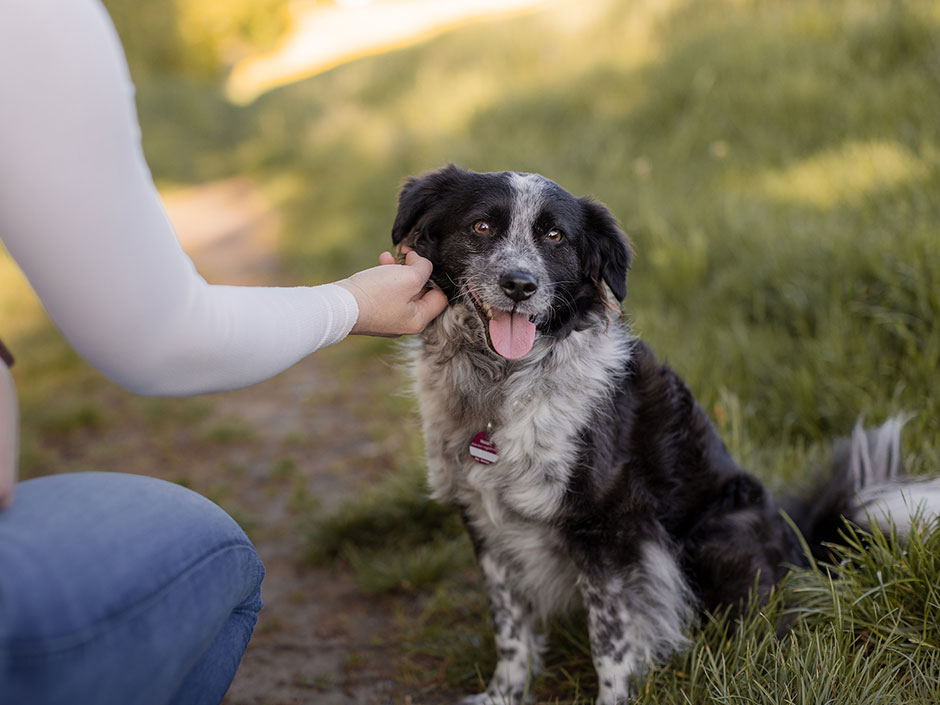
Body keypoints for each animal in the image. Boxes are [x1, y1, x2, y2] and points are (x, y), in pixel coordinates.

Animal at [392, 166, 940, 704]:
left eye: (554, 236)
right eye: (482, 226)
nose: (520, 285)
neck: (500, 386)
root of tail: (798, 543)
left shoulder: (606, 530)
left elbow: (611, 641)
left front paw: (614, 699)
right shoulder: (486, 520)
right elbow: (510, 631)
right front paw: (503, 695)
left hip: (717, 536)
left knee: (759, 626)